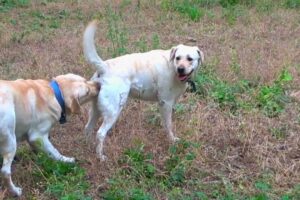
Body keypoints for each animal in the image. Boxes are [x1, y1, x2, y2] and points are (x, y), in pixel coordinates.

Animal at [82, 20, 204, 161]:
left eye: (190, 59)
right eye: (178, 58)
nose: (181, 69)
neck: (172, 65)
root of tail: (104, 67)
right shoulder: (166, 103)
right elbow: (168, 125)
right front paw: (171, 140)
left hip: (96, 110)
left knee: (88, 128)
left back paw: (88, 147)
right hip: (113, 112)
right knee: (100, 134)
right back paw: (100, 157)